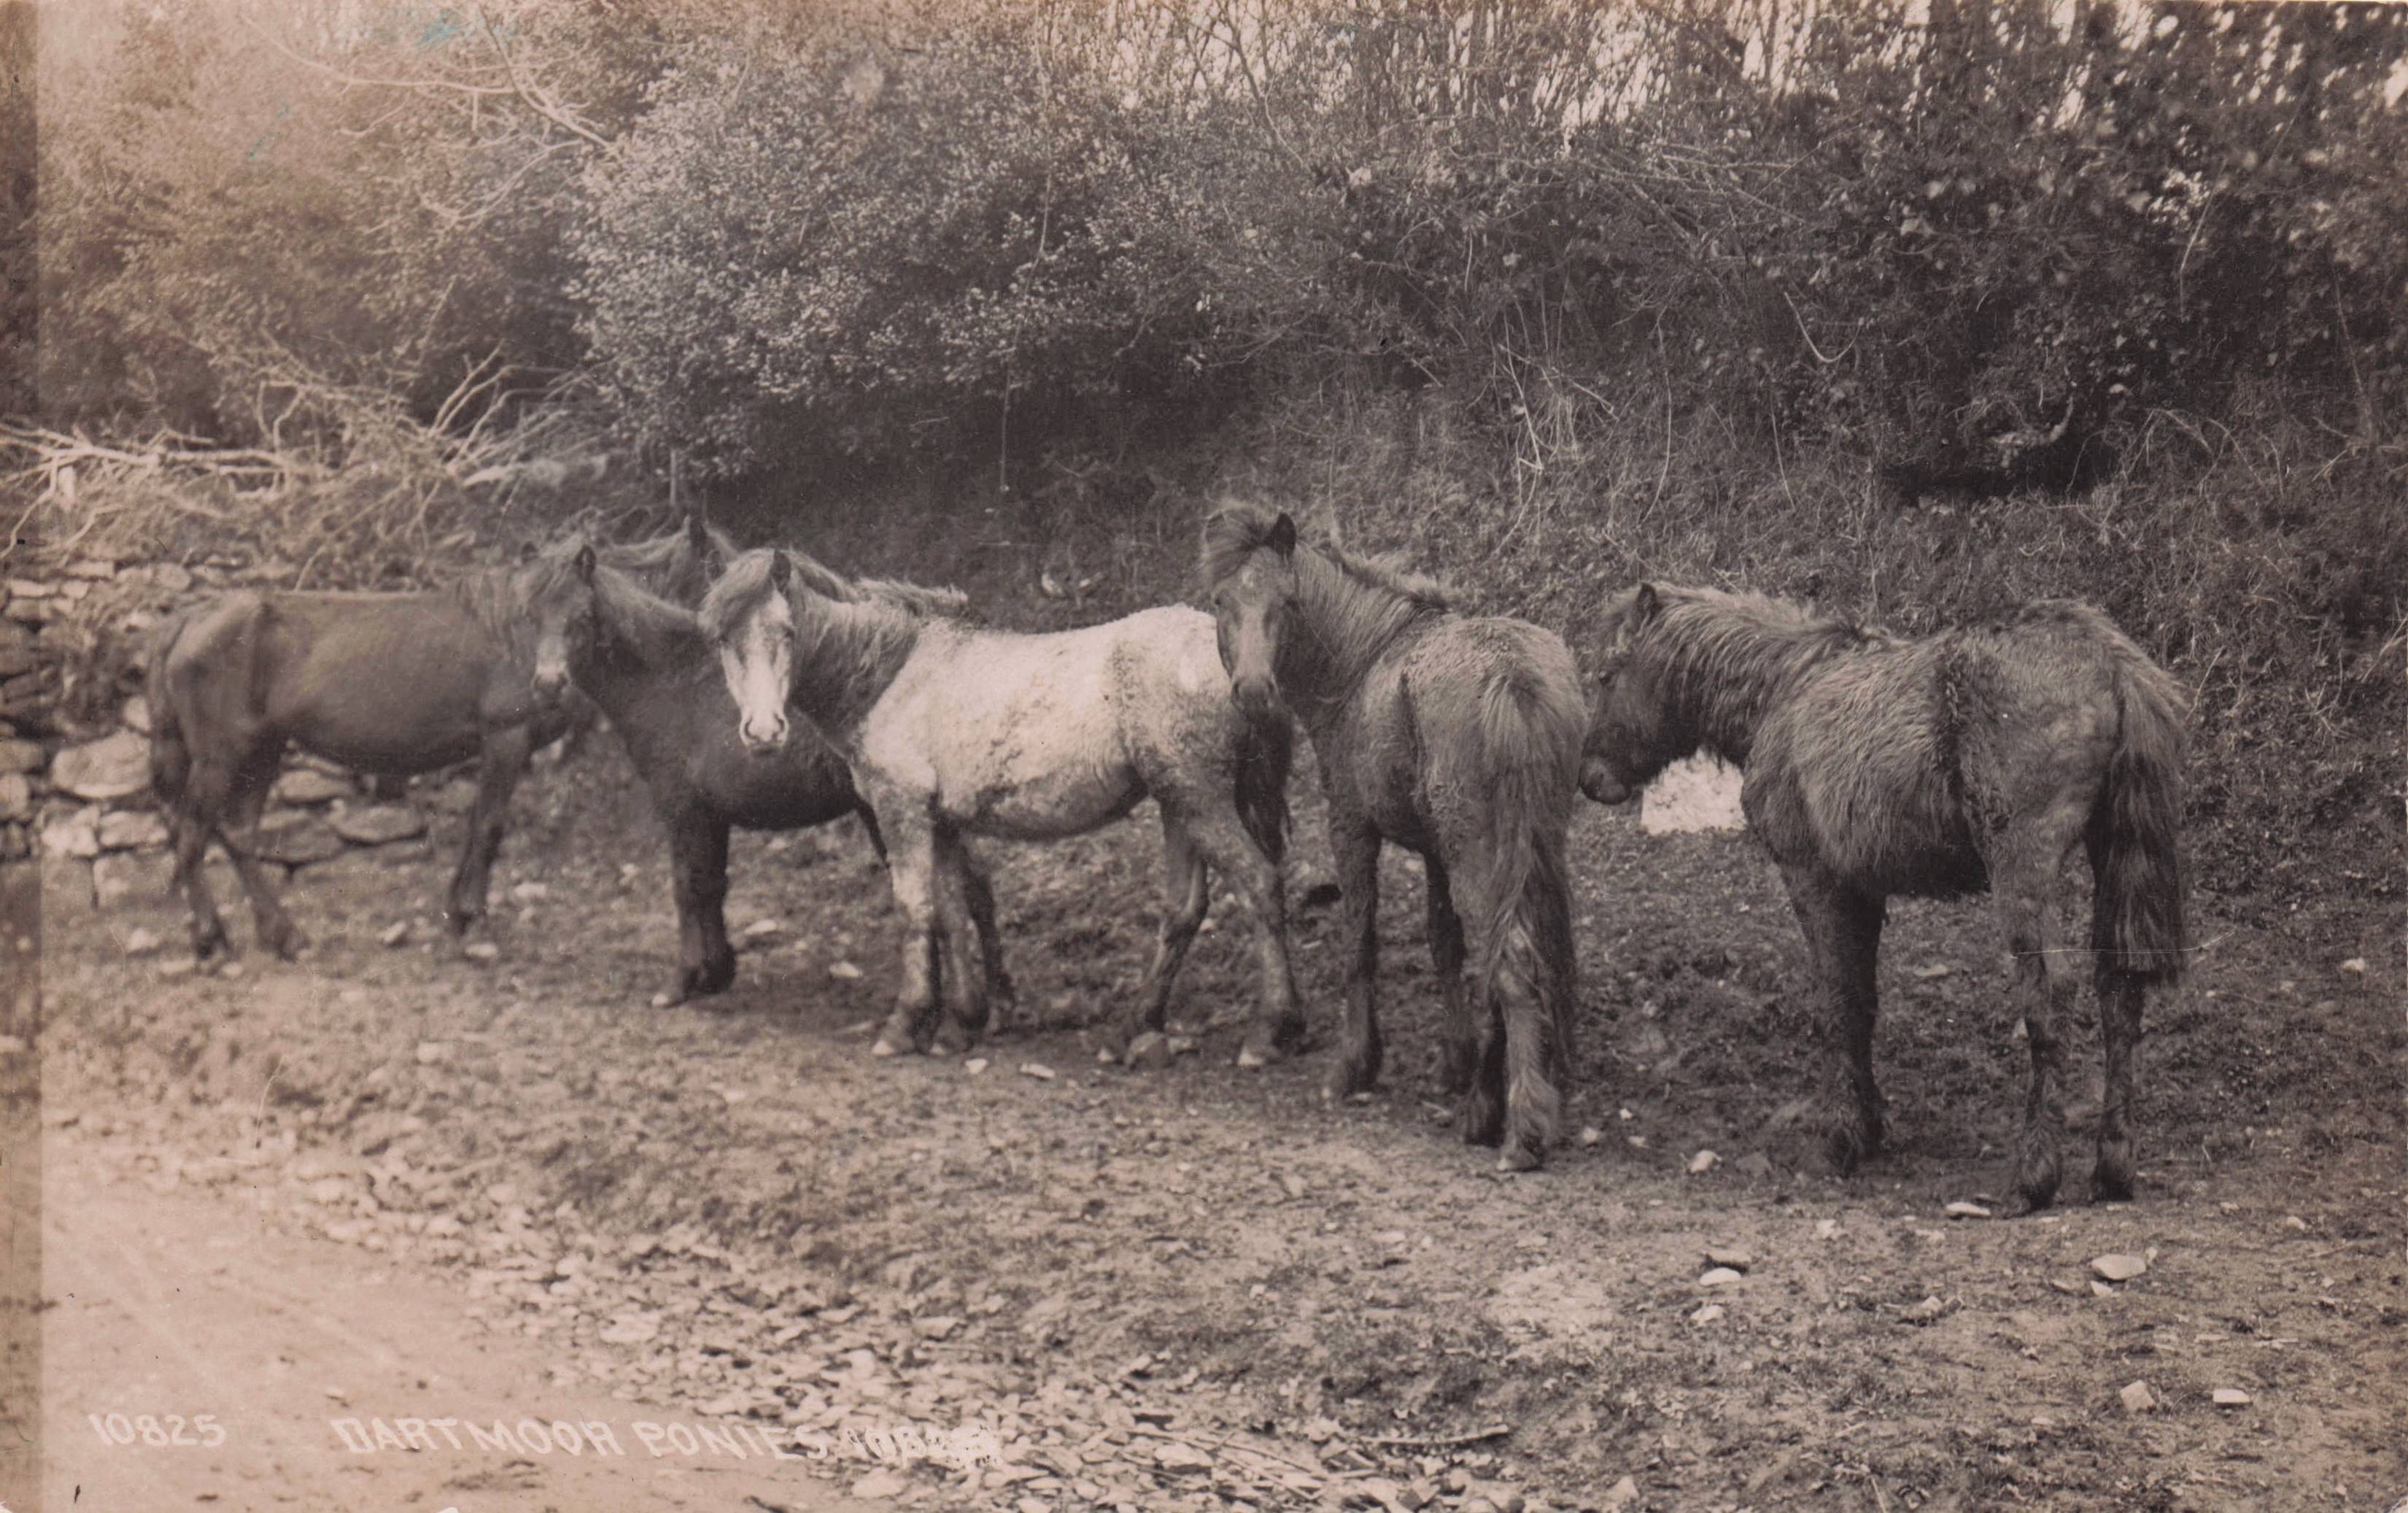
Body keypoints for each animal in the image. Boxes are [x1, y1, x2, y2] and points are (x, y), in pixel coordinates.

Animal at [146, 514, 732, 960]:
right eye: (534, 613)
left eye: (583, 614)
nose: (549, 682)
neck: (515, 640)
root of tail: (191, 619)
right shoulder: (505, 739)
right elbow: (489, 826)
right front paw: (472, 916)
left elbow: (477, 826)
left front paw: (457, 909)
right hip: (222, 757)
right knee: (194, 834)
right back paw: (210, 937)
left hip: (263, 752)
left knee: (238, 835)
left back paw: (284, 935)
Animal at [543, 540, 1015, 1010]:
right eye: (537, 617)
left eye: (581, 616)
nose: (547, 683)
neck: (671, 682)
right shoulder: (711, 817)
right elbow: (712, 885)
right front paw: (717, 972)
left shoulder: (682, 811)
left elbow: (686, 888)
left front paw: (682, 981)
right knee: (975, 885)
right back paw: (997, 996)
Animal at [699, 547, 1301, 1065]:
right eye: (723, 637)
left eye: (786, 632)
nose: (763, 732)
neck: (891, 675)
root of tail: (1245, 667)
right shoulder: (939, 821)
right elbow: (951, 912)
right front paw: (959, 1023)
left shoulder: (901, 811)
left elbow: (915, 908)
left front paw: (905, 1024)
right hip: (1178, 804)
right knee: (1183, 910)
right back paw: (1137, 1029)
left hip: (1201, 800)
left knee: (1259, 882)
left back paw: (1269, 1030)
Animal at [1204, 503, 1587, 1172]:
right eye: (1222, 600)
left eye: (1285, 601)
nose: (1252, 691)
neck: (1365, 663)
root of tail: (1511, 678)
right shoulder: (1436, 852)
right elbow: (1444, 945)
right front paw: (1457, 1063)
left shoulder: (1351, 827)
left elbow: (1360, 942)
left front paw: (1355, 1065)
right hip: (1523, 849)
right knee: (1526, 959)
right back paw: (1499, 1102)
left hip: (1478, 858)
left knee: (1510, 965)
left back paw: (1519, 1131)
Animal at [1580, 582, 2188, 1208]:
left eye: (1606, 675)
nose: (1590, 777)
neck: (1783, 688)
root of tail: (2108, 661)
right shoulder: (1861, 892)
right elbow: (1862, 1002)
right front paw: (1868, 1125)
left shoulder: (1814, 880)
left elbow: (1836, 1003)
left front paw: (1840, 1136)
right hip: (2112, 860)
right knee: (2119, 990)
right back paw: (2113, 1165)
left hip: (2024, 867)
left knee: (2050, 995)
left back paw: (2036, 1170)